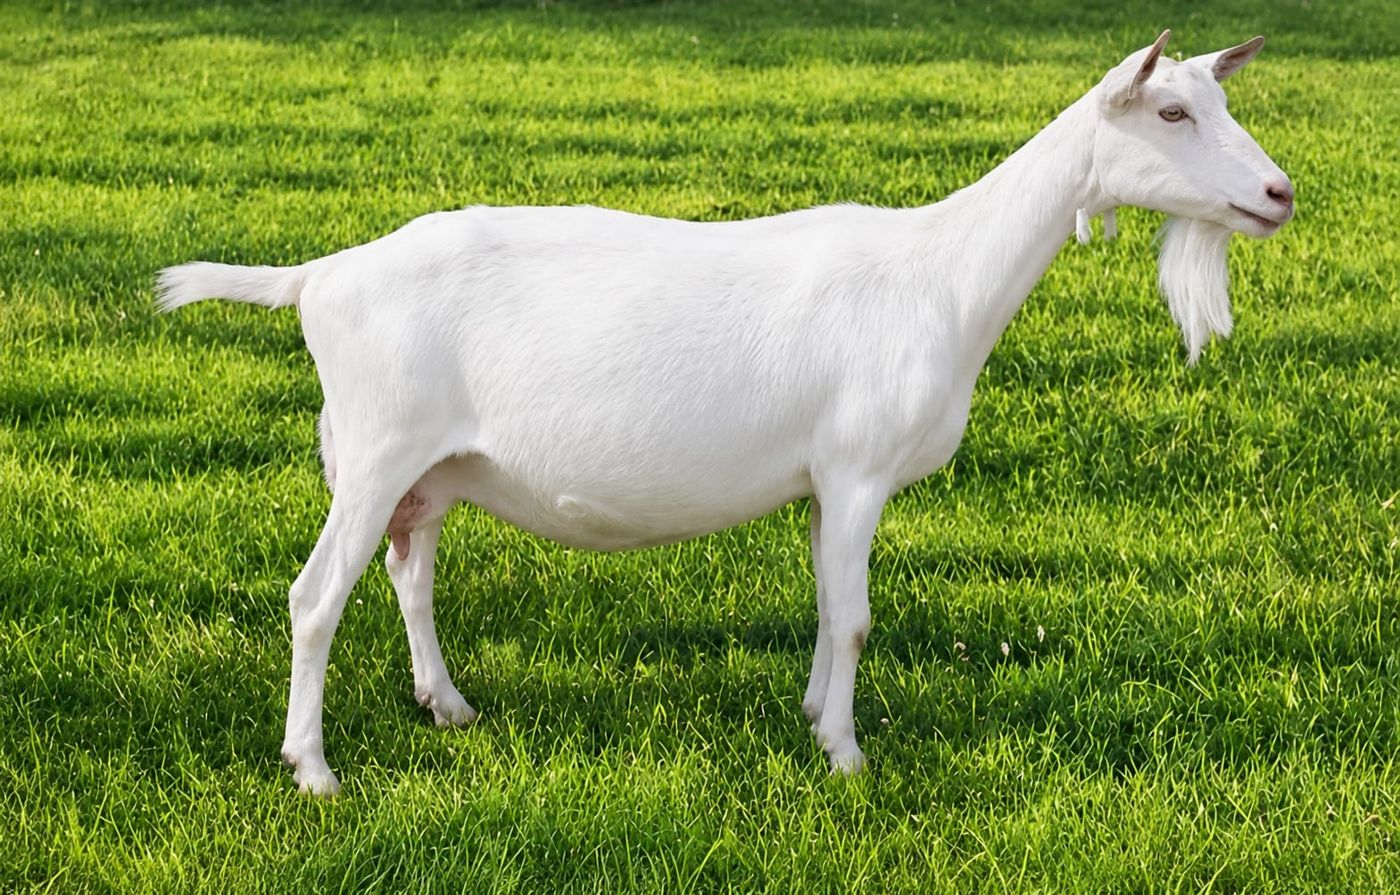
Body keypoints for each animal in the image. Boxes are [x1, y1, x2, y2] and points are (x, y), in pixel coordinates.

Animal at [157, 31, 1293, 795]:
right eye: (1171, 114)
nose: (1279, 193)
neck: (940, 275)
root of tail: (318, 277)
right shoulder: (858, 468)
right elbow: (856, 615)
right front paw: (846, 757)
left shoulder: (822, 482)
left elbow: (828, 608)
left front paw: (814, 717)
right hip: (378, 445)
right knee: (315, 597)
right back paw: (313, 768)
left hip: (426, 466)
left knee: (409, 573)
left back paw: (448, 704)